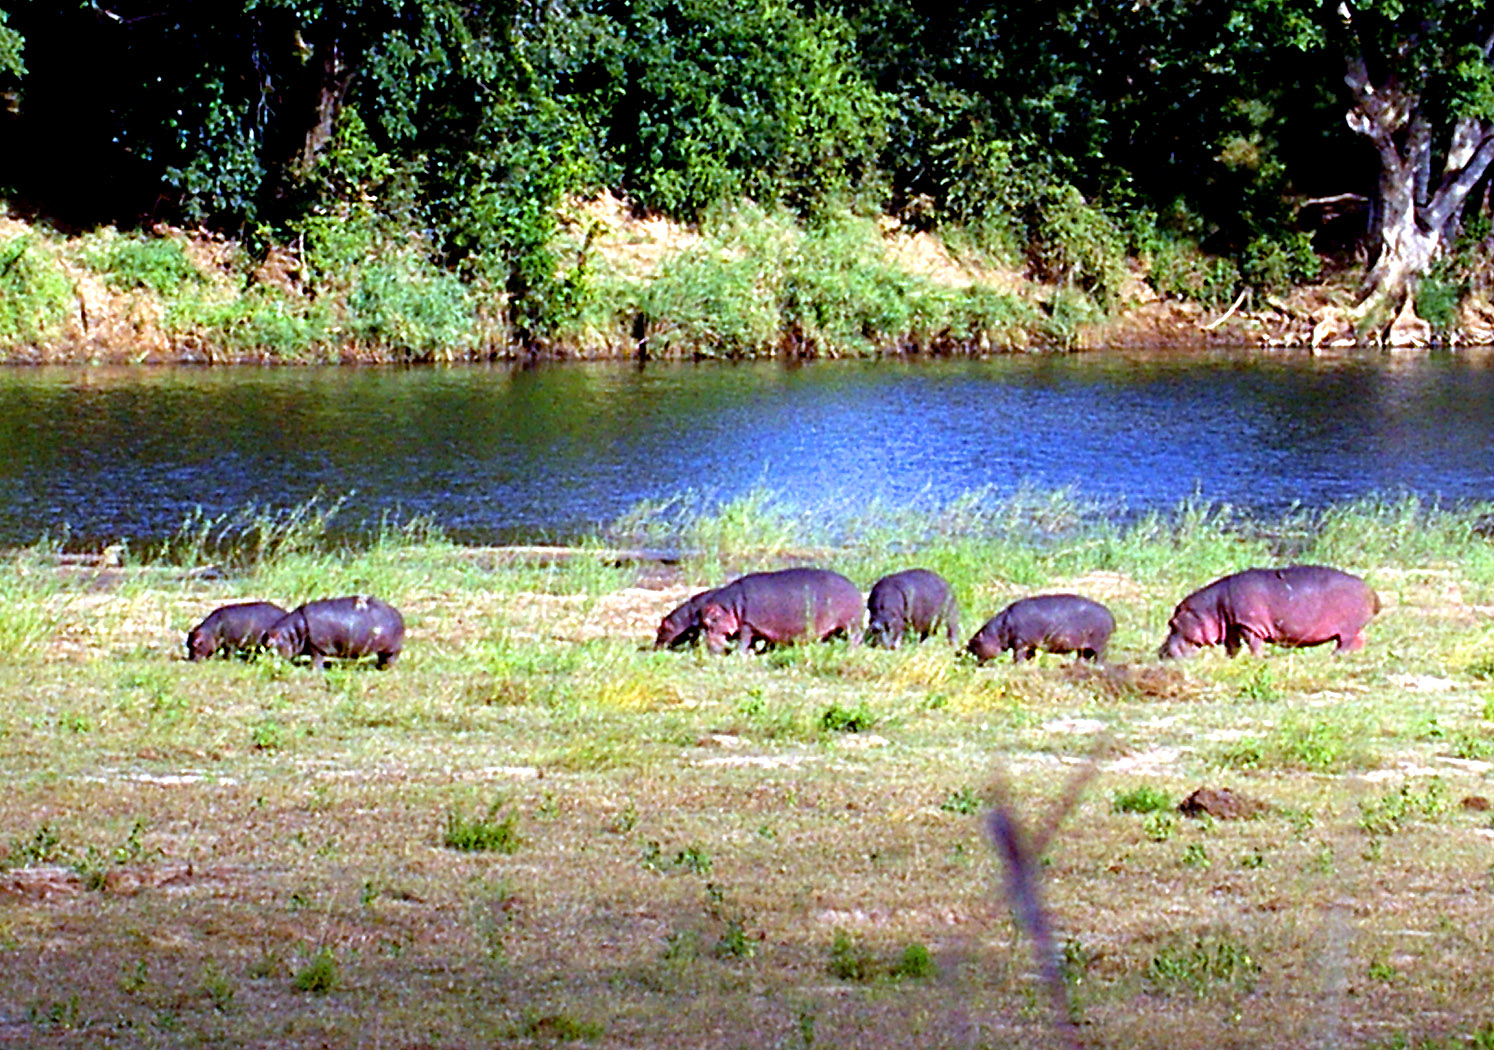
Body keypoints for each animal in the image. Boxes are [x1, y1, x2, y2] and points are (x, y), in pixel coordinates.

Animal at [262, 594, 403, 669]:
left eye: (269, 645)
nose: (263, 663)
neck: (294, 631)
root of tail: (398, 614)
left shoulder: (317, 645)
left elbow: (317, 659)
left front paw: (313, 670)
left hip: (392, 649)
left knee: (390, 658)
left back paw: (384, 669)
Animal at [699, 567, 866, 657]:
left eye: (710, 621)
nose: (709, 649)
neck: (731, 606)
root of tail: (855, 589)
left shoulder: (748, 624)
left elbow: (744, 641)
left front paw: (740, 654)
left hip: (850, 623)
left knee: (856, 636)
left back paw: (849, 650)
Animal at [962, 594, 1117, 660]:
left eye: (973, 642)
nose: (963, 655)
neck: (998, 631)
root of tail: (1109, 614)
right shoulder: (1030, 645)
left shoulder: (1020, 643)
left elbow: (1017, 657)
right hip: (1085, 647)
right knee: (1083, 657)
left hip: (1099, 644)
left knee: (1101, 658)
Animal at [1153, 567, 1374, 657]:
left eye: (1171, 623)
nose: (1160, 652)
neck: (1209, 608)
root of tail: (1370, 590)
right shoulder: (1233, 625)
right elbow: (1232, 647)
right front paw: (1232, 660)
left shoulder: (1249, 625)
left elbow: (1254, 645)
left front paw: (1256, 659)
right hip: (1354, 629)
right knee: (1360, 640)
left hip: (1347, 629)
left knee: (1345, 644)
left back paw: (1333, 656)